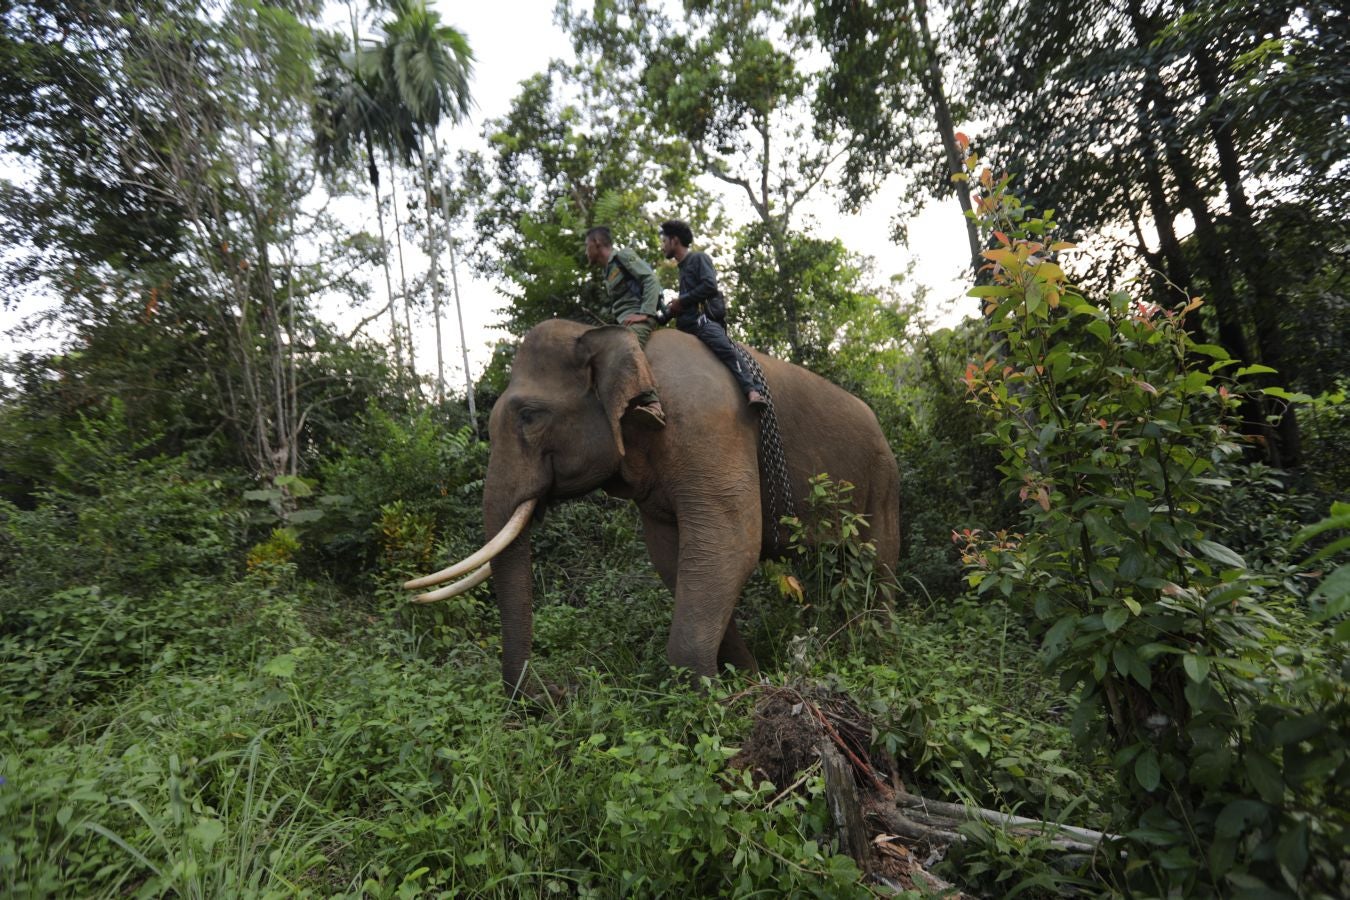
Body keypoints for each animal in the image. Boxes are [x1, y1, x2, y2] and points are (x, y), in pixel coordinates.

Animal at [405, 319, 901, 701]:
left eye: (529, 416)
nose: (558, 694)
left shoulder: (711, 429)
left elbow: (732, 546)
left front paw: (714, 702)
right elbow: (674, 560)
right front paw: (745, 679)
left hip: (883, 480)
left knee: (878, 564)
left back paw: (876, 649)